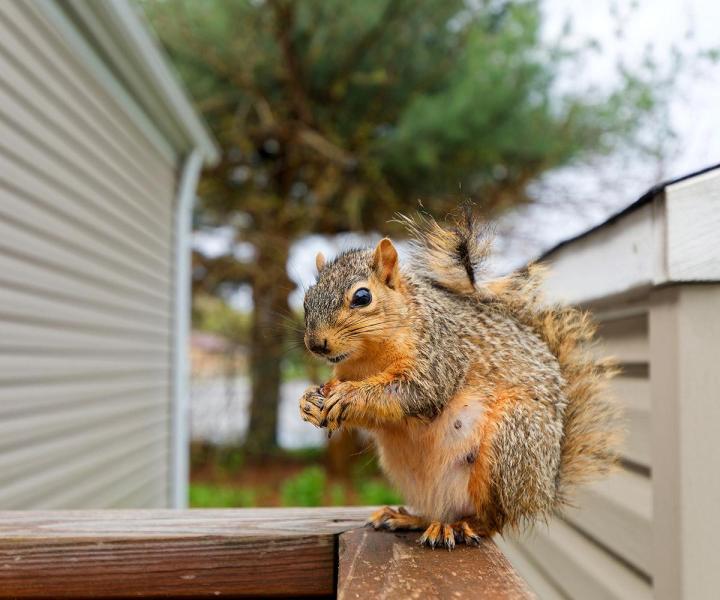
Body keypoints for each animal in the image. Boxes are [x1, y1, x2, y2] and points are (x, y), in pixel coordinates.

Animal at [299, 209, 621, 549]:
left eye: (362, 297)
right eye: (307, 299)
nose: (316, 344)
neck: (367, 359)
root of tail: (544, 489)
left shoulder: (440, 356)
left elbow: (414, 392)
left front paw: (348, 396)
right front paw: (308, 401)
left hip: (510, 442)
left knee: (493, 519)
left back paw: (461, 527)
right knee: (439, 510)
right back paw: (411, 518)